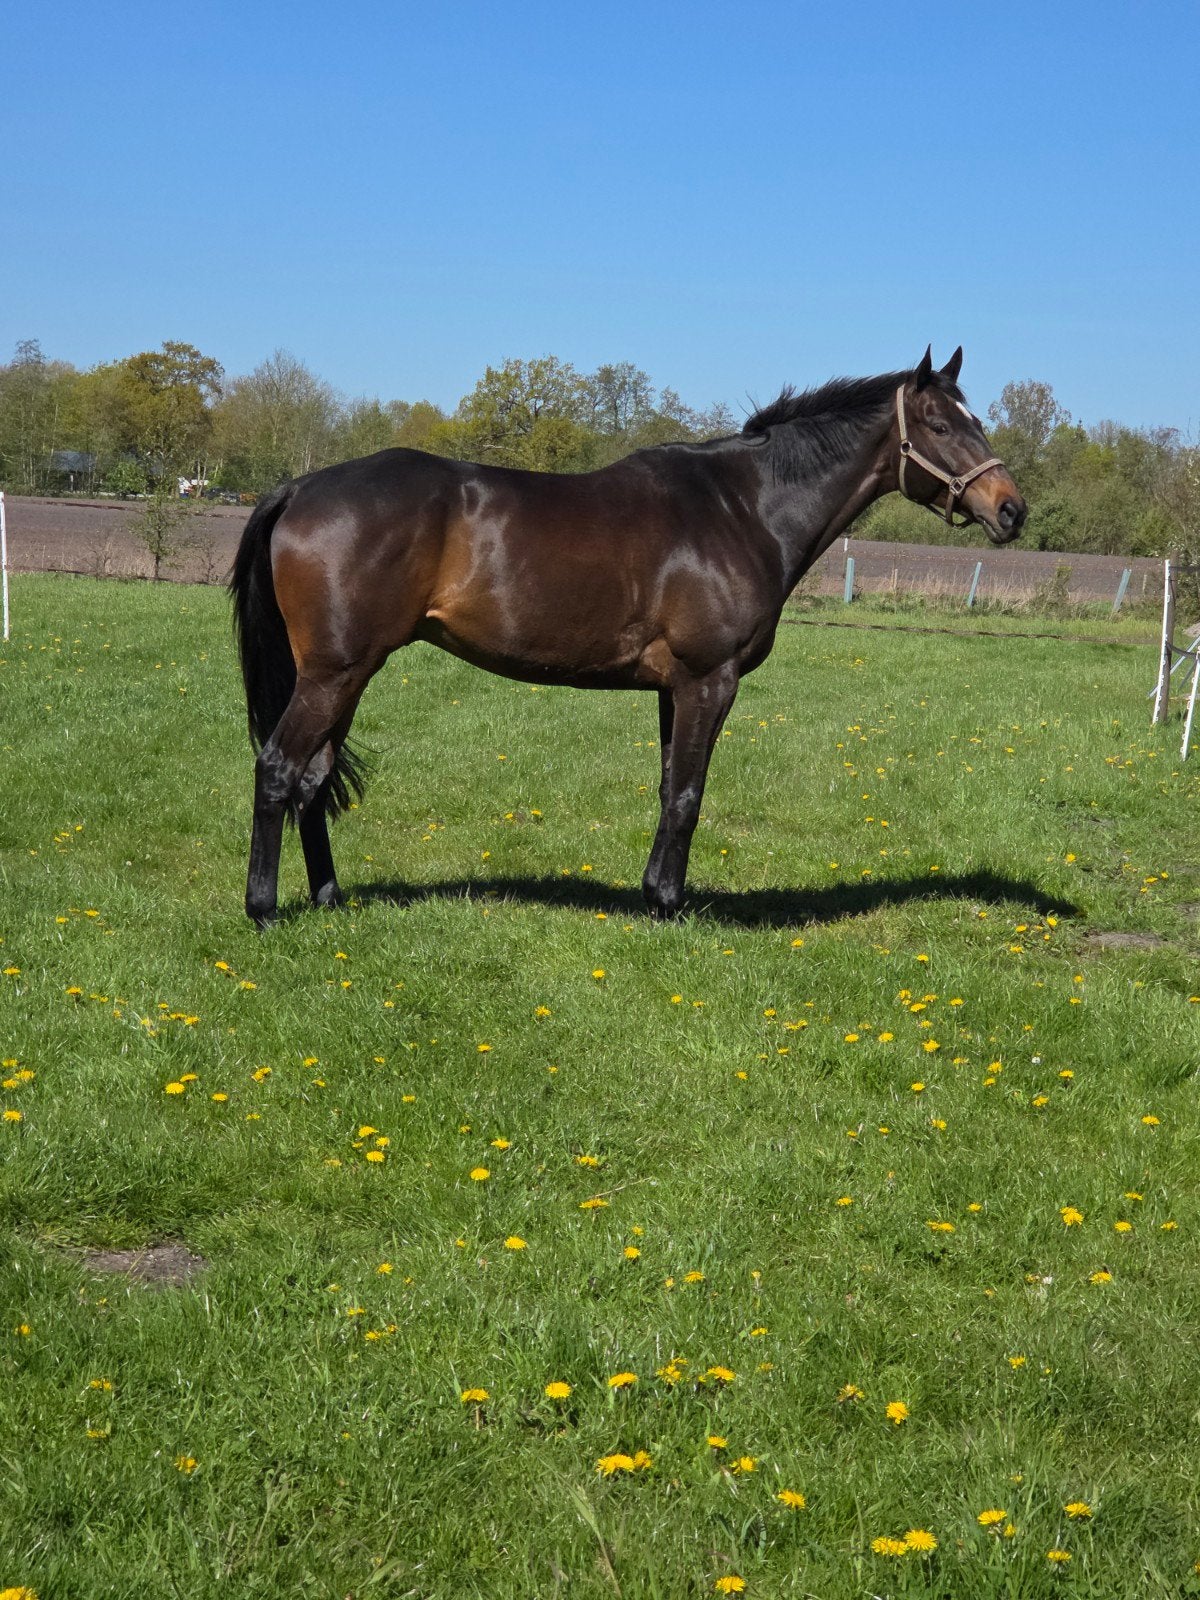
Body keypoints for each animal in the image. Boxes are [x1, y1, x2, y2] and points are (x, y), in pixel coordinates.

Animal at [230, 346, 1025, 926]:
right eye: (942, 427)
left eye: (977, 419)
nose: (1011, 510)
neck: (743, 508)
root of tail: (299, 488)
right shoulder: (710, 680)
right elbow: (688, 795)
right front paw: (670, 905)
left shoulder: (675, 688)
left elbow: (670, 785)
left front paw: (654, 895)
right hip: (335, 672)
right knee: (278, 769)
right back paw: (263, 910)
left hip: (346, 674)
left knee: (312, 780)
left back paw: (331, 902)